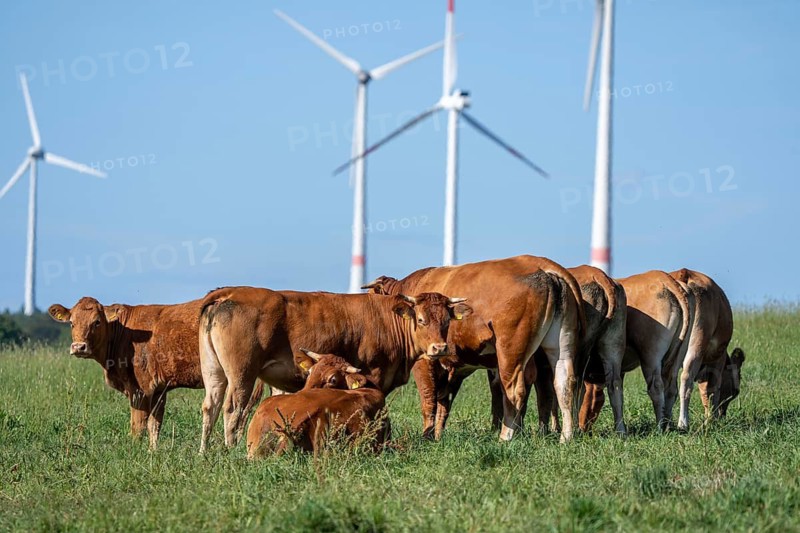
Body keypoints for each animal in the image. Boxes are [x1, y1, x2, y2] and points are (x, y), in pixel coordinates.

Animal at [48, 297, 264, 449]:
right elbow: (154, 425)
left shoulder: (140, 390)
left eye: (97, 322)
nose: (79, 347)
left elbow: (138, 427)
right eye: (72, 322)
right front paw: (153, 452)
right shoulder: (159, 390)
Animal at [362, 254, 585, 443]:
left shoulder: (424, 363)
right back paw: (566, 438)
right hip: (560, 345)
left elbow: (429, 401)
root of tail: (542, 265)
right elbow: (444, 404)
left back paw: (505, 437)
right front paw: (437, 437)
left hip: (510, 351)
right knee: (564, 384)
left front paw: (426, 438)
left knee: (515, 390)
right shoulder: (454, 368)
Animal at [670, 269, 744, 429]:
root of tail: (685, 273)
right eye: (735, 391)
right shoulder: (717, 360)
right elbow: (711, 391)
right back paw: (683, 423)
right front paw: (711, 419)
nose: (723, 415)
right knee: (686, 379)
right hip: (698, 340)